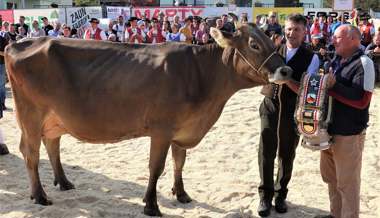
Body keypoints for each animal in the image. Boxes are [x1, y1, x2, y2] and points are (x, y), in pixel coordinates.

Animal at [4, 23, 292, 216]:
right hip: (30, 115)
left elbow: (179, 163)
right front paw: (151, 205)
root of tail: (17, 43)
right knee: (30, 152)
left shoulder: (181, 131)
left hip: (54, 119)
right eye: (254, 45)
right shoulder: (161, 130)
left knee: (52, 145)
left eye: (272, 40)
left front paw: (181, 193)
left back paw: (63, 183)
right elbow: (156, 167)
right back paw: (39, 195)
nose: (286, 70)